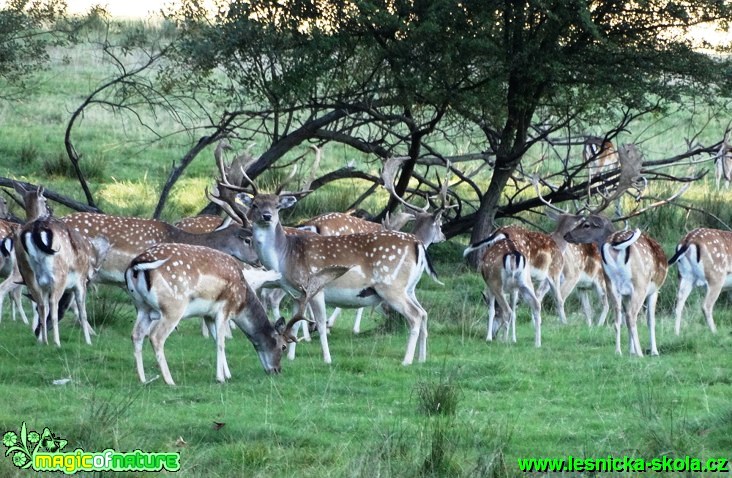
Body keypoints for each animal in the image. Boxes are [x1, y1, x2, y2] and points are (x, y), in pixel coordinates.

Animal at [124, 243, 288, 384]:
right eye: (283, 346)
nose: (277, 370)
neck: (241, 302)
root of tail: (136, 265)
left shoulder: (208, 314)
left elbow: (215, 340)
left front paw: (228, 375)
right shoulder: (224, 310)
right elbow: (221, 343)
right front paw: (220, 378)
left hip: (142, 307)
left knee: (136, 334)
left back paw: (143, 379)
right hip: (173, 307)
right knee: (155, 336)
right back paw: (170, 381)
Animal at [560, 216, 668, 354]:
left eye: (586, 224)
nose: (566, 235)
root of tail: (614, 242)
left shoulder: (626, 294)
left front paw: (631, 351)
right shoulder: (654, 290)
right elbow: (651, 321)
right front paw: (654, 352)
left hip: (611, 284)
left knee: (618, 320)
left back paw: (618, 351)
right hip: (640, 284)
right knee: (631, 316)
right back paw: (639, 353)